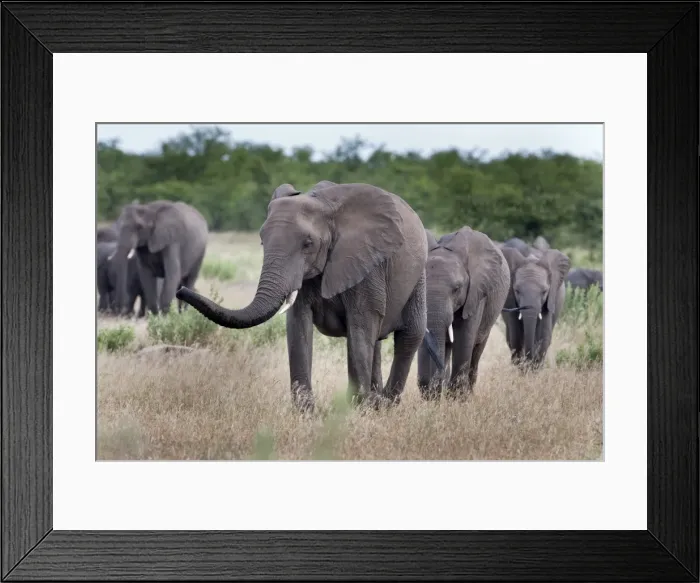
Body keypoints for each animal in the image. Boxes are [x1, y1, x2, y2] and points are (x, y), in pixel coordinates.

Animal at [176, 181, 434, 412]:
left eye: (308, 243)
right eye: (262, 241)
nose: (181, 290)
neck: (325, 205)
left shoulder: (366, 262)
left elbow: (360, 326)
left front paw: (359, 410)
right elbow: (298, 325)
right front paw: (306, 413)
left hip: (418, 273)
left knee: (409, 335)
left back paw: (385, 405)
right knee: (378, 342)